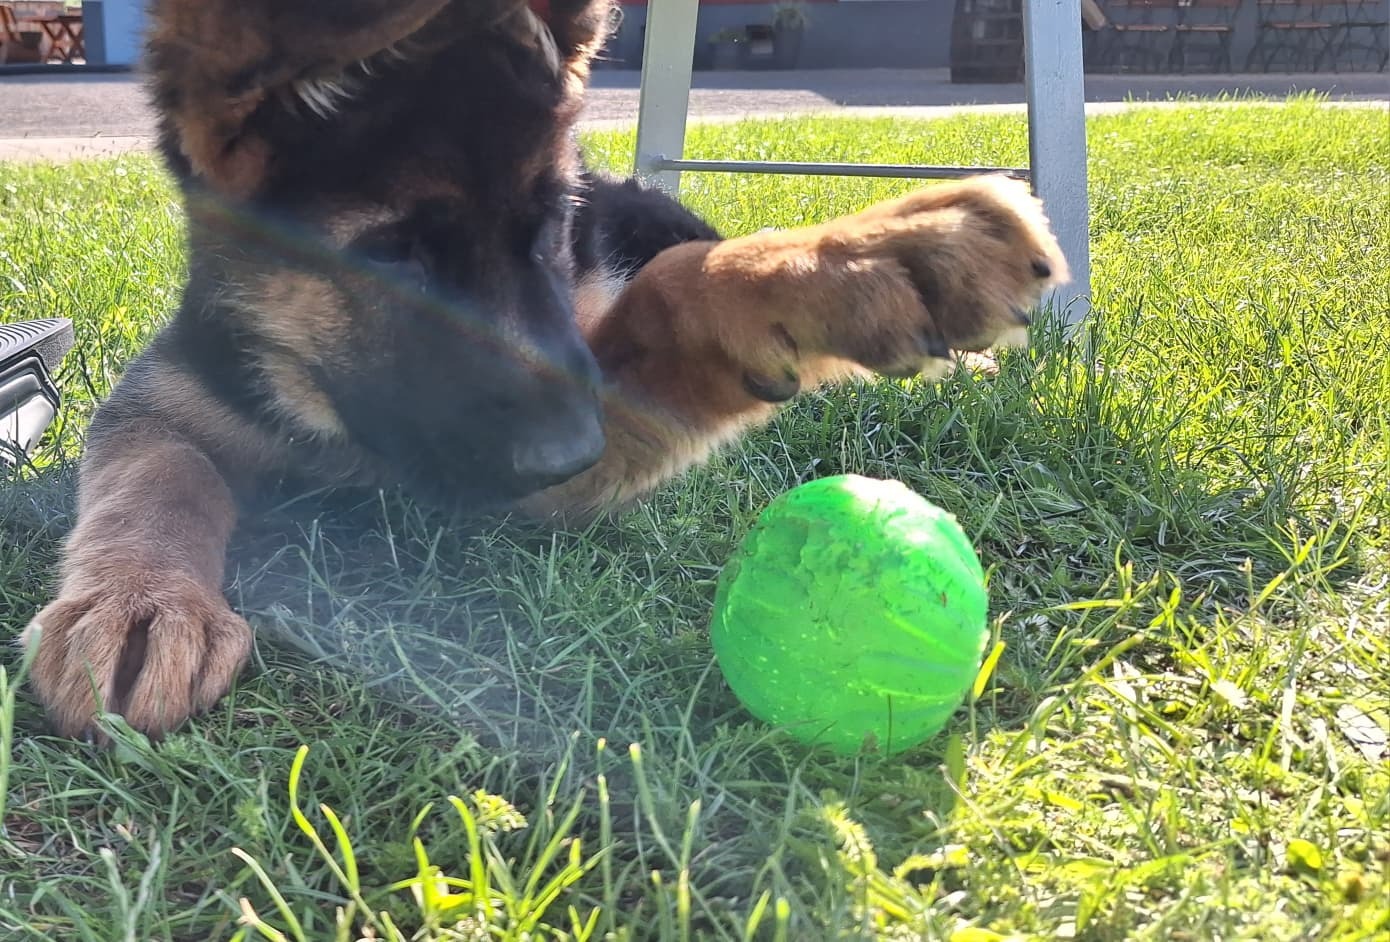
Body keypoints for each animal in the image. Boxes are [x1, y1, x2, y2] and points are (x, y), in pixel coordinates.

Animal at [21, 0, 1066, 739]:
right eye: (393, 256)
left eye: (550, 222)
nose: (574, 450)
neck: (319, 397)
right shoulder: (162, 403)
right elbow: (158, 476)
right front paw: (141, 600)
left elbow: (675, 290)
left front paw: (866, 252)